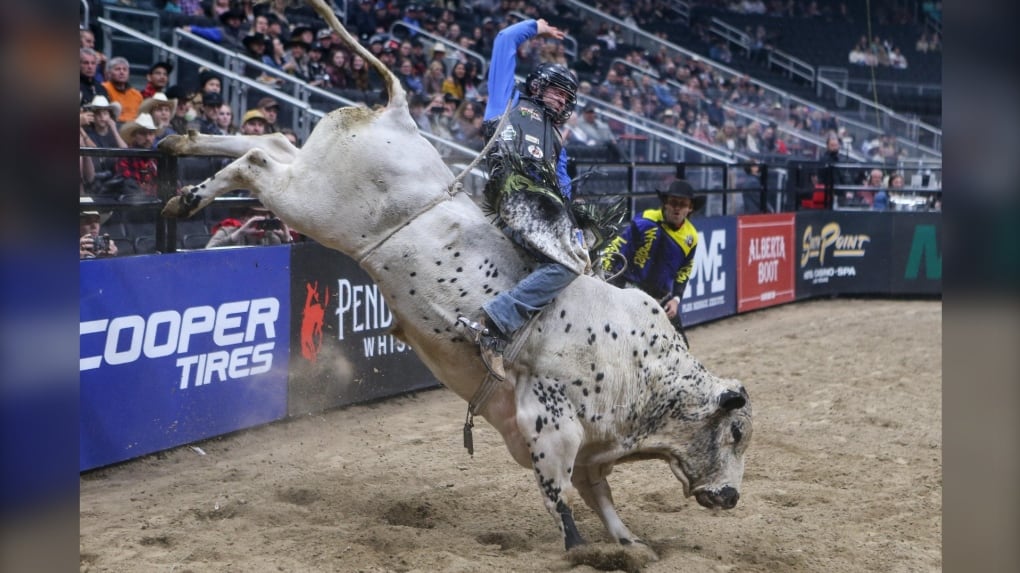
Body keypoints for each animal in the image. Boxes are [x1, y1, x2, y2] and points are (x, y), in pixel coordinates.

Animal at [159, 0, 752, 555]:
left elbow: (600, 496)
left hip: (312, 173)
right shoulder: (550, 420)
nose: (731, 497)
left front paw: (631, 546)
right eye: (736, 433)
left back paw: (180, 147)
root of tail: (399, 117)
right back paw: (187, 195)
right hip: (314, 205)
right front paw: (581, 550)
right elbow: (559, 491)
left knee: (274, 143)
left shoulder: (590, 450)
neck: (643, 369)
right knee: (259, 161)